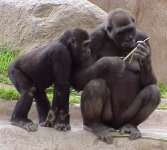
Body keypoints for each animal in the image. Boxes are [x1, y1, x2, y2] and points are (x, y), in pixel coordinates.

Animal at [71, 8, 160, 144]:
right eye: (121, 33)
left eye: (130, 30)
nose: (129, 39)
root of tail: (115, 126)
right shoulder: (94, 38)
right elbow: (78, 77)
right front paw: (110, 62)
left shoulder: (143, 37)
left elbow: (151, 82)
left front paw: (145, 56)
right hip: (108, 119)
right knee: (96, 84)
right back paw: (94, 125)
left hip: (123, 119)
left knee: (153, 92)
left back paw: (131, 126)